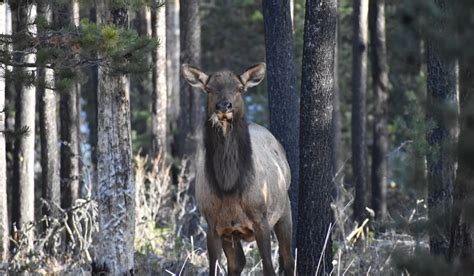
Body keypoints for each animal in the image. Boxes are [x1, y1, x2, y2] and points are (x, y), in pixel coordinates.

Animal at [181, 63, 292, 276]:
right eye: (209, 89)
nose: (224, 106)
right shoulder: (213, 225)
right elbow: (214, 268)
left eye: (240, 88)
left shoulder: (260, 219)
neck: (229, 189)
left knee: (289, 258)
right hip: (231, 234)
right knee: (237, 263)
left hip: (284, 210)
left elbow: (268, 267)